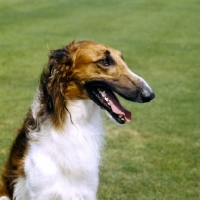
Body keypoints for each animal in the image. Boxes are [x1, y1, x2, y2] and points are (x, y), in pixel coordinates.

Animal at [0, 40, 155, 200]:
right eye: (105, 61)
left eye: (122, 59)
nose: (150, 94)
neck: (76, 124)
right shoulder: (42, 191)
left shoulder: (86, 191)